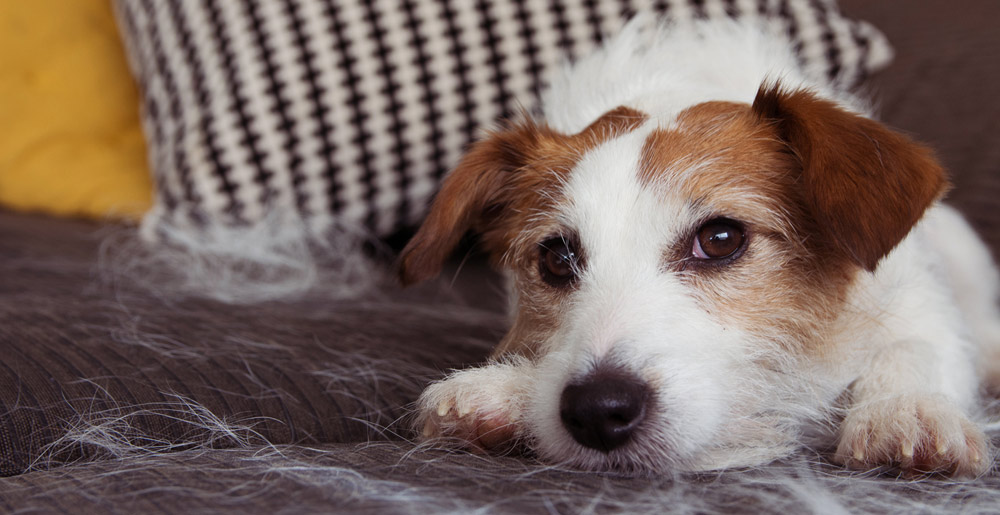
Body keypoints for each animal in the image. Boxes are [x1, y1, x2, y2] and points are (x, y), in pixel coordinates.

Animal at [394, 18, 996, 478]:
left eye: (720, 239)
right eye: (556, 258)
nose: (597, 410)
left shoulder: (916, 298)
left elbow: (915, 346)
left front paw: (905, 411)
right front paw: (505, 391)